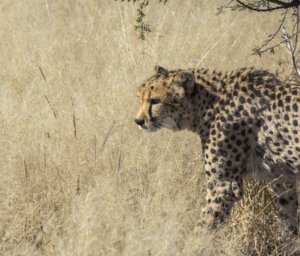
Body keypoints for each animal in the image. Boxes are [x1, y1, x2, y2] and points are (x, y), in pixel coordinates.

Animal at [135, 65, 300, 236]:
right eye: (139, 98)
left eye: (155, 101)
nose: (138, 121)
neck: (207, 102)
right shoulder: (281, 177)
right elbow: (289, 216)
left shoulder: (223, 186)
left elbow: (203, 227)